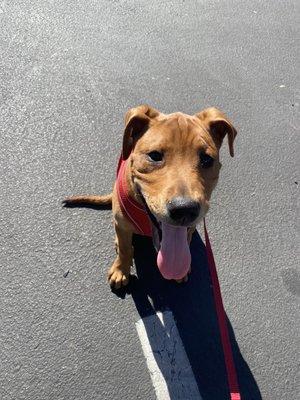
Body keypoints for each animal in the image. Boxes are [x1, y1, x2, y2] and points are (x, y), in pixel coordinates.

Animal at [63, 105, 237, 288]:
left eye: (206, 159)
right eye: (154, 156)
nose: (184, 210)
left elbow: (186, 241)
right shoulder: (122, 224)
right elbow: (125, 249)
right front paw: (120, 270)